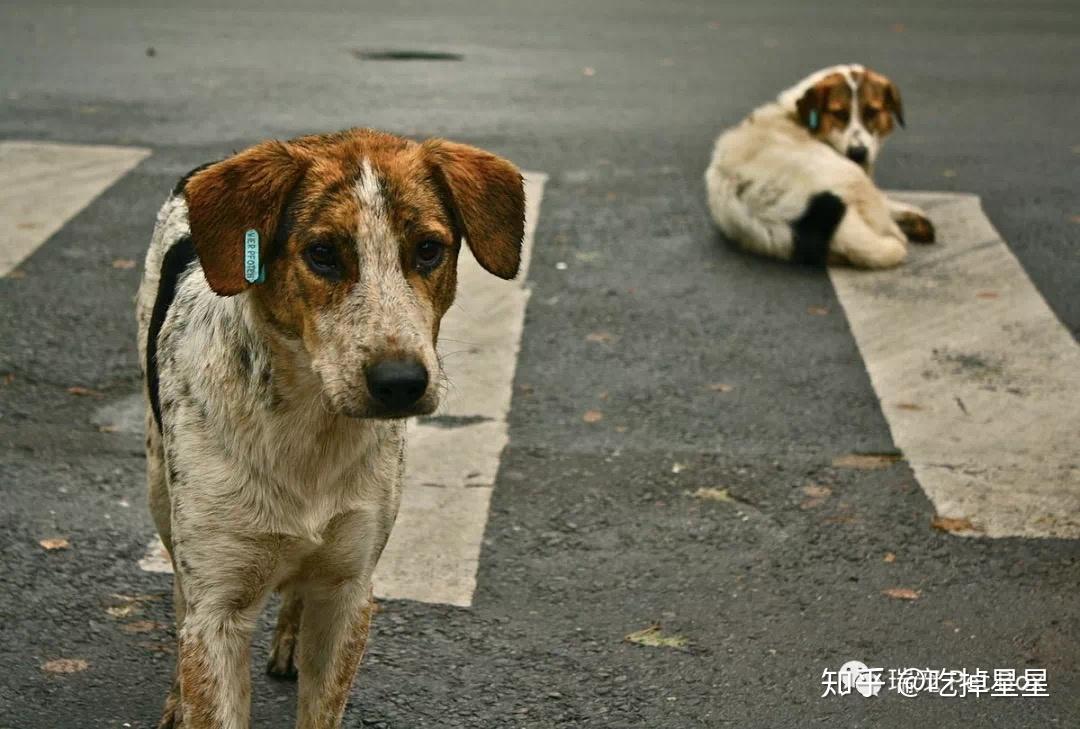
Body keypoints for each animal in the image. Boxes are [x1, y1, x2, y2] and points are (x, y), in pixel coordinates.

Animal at [137, 128, 524, 725]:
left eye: (428, 249)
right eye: (322, 254)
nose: (400, 382)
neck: (309, 428)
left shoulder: (349, 592)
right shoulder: (218, 608)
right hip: (160, 485)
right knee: (180, 589)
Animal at [704, 64, 933, 270]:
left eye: (871, 112)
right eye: (839, 114)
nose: (858, 153)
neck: (796, 116)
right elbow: (886, 202)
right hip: (850, 176)